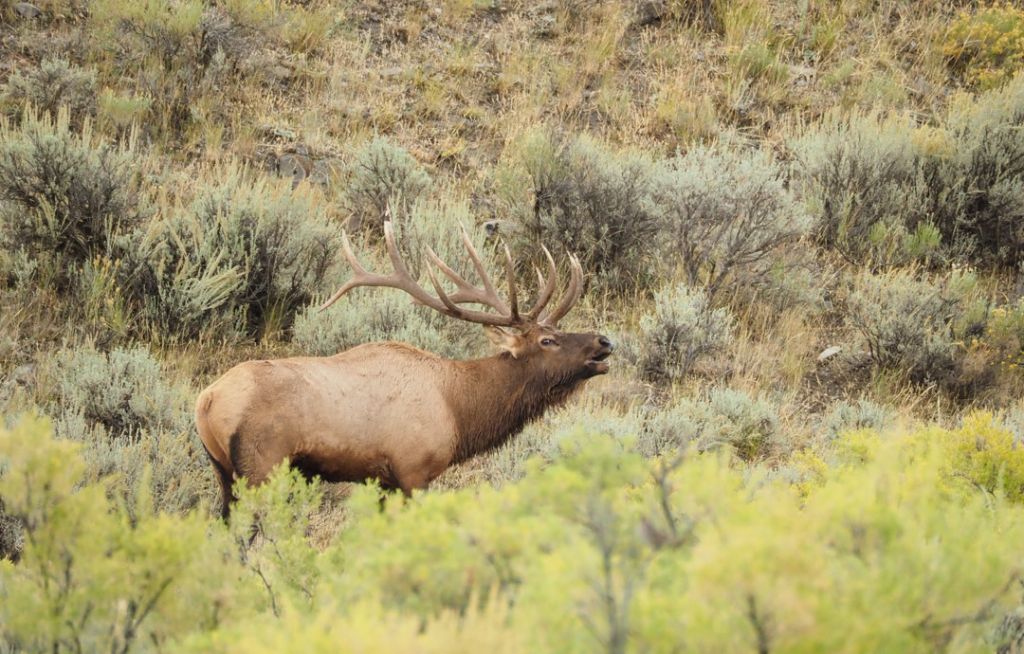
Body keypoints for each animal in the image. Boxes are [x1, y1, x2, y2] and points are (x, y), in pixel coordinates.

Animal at [197, 224, 614, 515]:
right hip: (261, 467)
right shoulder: (414, 469)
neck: (459, 413)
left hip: (224, 474)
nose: (604, 342)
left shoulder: (383, 481)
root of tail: (207, 401)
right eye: (547, 340)